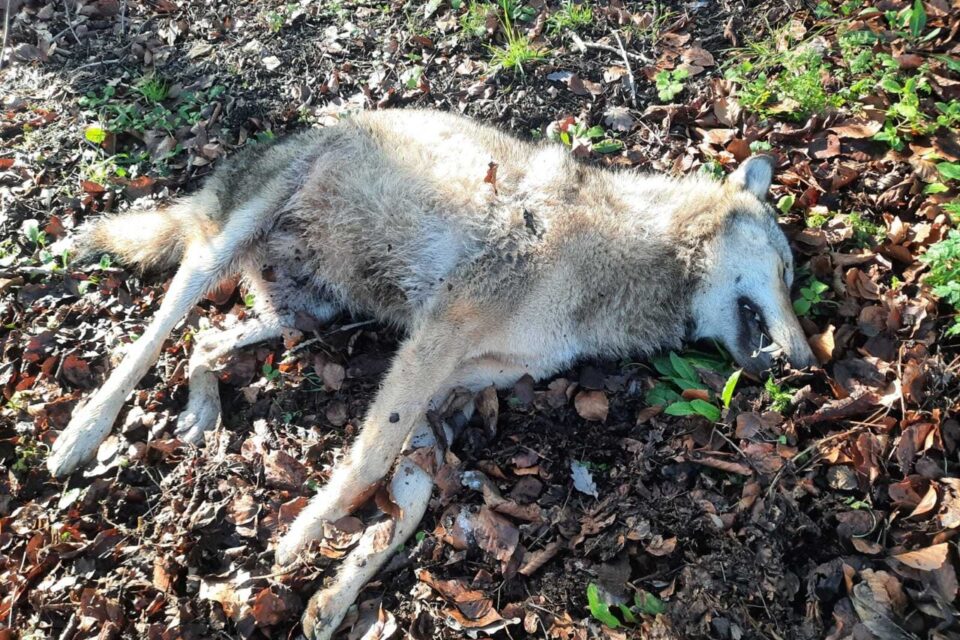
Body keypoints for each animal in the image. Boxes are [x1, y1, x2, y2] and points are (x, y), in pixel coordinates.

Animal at [43, 109, 808, 636]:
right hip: (220, 260)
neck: (632, 255)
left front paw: (334, 596)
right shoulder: (435, 339)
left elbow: (405, 504)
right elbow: (366, 458)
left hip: (309, 316)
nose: (805, 362)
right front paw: (303, 535)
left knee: (205, 340)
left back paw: (200, 412)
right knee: (151, 340)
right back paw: (81, 436)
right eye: (786, 271)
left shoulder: (449, 390)